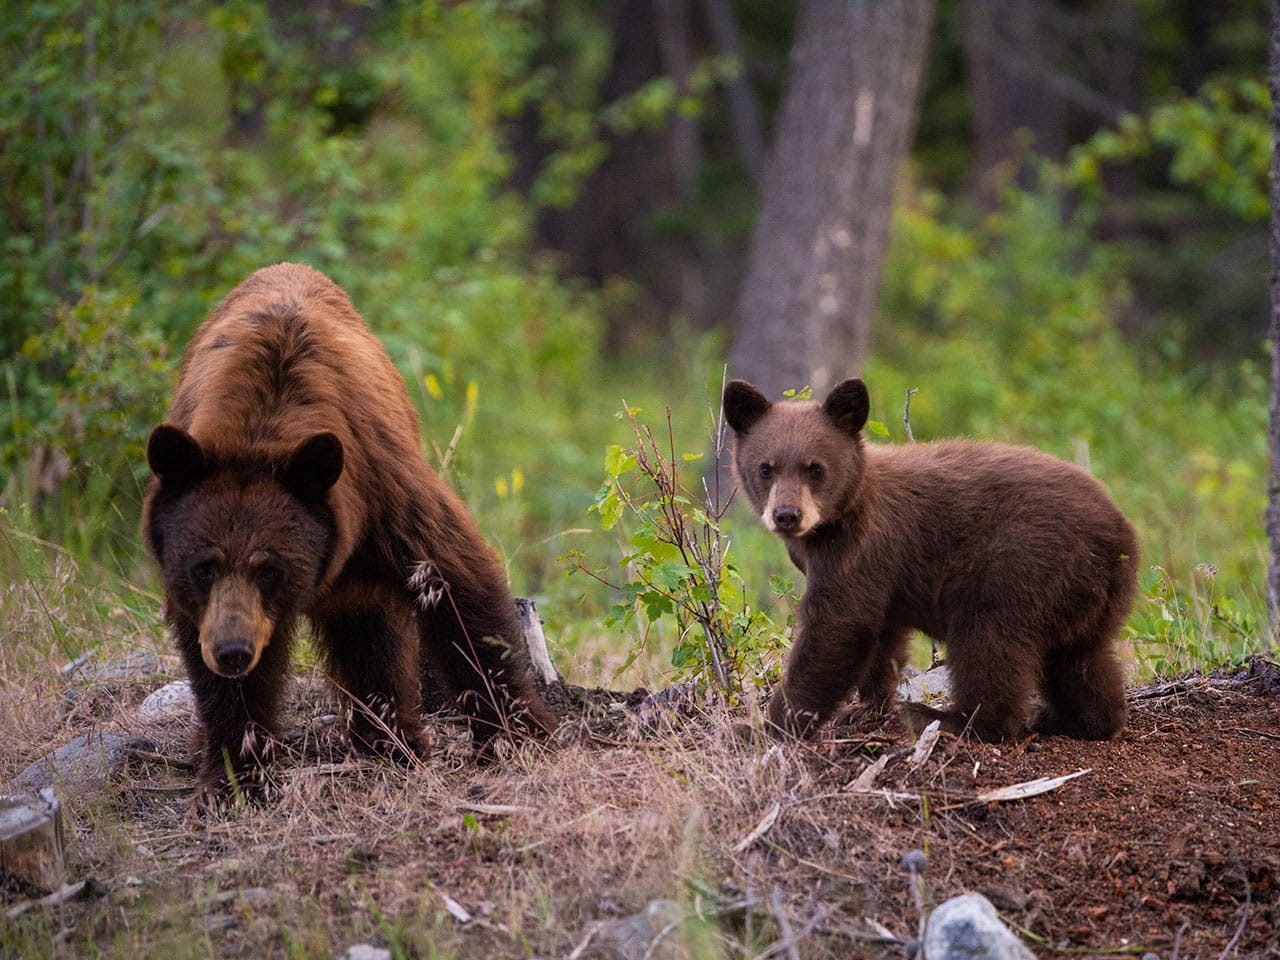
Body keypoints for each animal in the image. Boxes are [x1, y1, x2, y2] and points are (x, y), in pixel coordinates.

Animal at [142, 262, 558, 807]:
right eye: (203, 566)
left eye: (270, 567)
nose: (233, 652)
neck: (261, 425)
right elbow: (219, 680)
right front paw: (235, 776)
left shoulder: (383, 489)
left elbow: (456, 584)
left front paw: (517, 735)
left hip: (363, 573)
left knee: (371, 640)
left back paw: (392, 741)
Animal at [723, 377, 1137, 743]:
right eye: (766, 467)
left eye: (815, 468)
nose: (787, 515)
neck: (838, 517)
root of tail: (1119, 537)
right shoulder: (878, 574)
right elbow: (881, 636)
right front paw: (867, 706)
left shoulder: (861, 549)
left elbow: (837, 628)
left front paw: (766, 727)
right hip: (1085, 596)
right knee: (1081, 660)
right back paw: (1078, 720)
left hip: (1020, 565)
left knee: (989, 642)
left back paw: (949, 719)